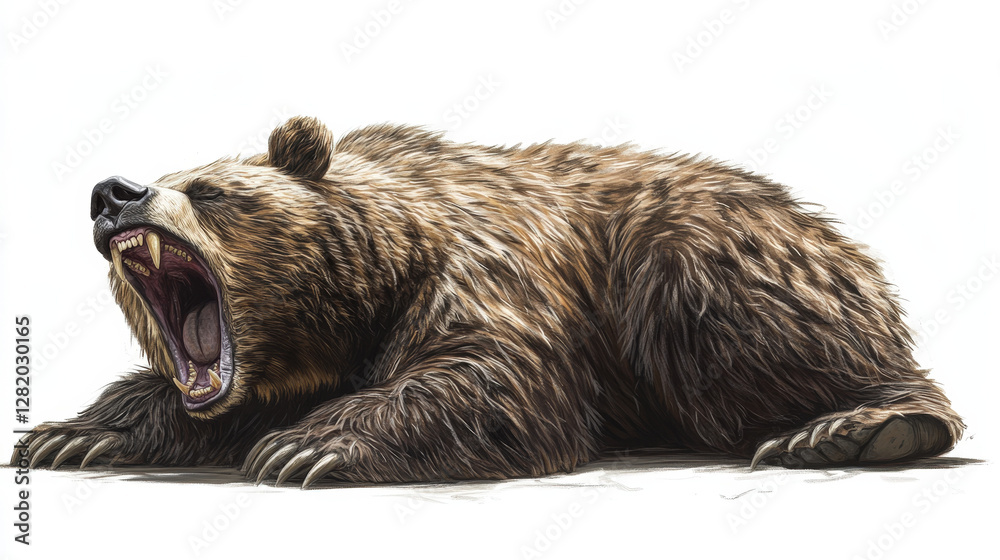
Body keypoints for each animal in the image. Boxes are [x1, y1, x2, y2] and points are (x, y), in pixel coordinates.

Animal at [11, 116, 963, 487]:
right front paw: (70, 432)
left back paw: (858, 425)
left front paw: (307, 447)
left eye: (207, 190)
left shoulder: (484, 269)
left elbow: (488, 374)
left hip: (700, 259)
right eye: (169, 171)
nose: (113, 194)